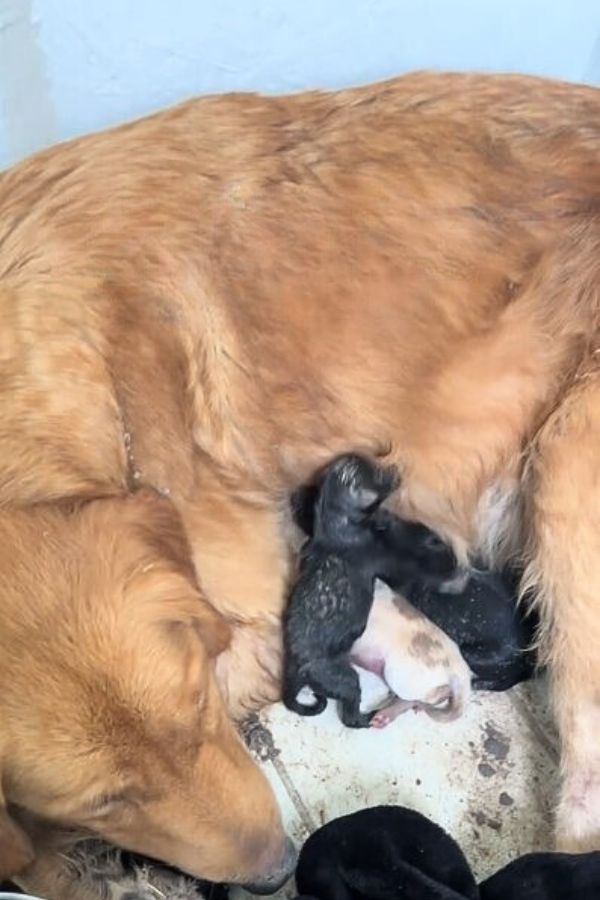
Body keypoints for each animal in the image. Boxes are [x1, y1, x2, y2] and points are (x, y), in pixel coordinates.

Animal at [284, 454, 458, 728]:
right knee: (351, 714)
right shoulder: (386, 556)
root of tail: (297, 670)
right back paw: (371, 716)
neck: (334, 523)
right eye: (380, 475)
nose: (396, 468)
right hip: (346, 679)